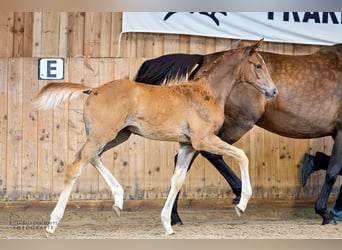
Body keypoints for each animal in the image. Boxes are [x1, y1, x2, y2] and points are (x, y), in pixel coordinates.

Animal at [33, 40, 276, 235]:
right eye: (258, 65)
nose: (273, 91)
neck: (206, 93)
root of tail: (94, 89)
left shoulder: (187, 145)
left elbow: (177, 180)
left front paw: (167, 223)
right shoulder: (203, 140)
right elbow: (242, 155)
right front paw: (241, 203)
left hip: (117, 136)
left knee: (93, 158)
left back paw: (118, 200)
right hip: (102, 135)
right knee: (75, 165)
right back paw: (53, 223)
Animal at [135, 43, 342, 227]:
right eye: (258, 66)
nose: (273, 91)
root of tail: (205, 58)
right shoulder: (341, 131)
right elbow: (333, 171)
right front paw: (326, 213)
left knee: (185, 161)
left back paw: (175, 217)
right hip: (236, 125)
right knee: (209, 155)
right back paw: (236, 194)